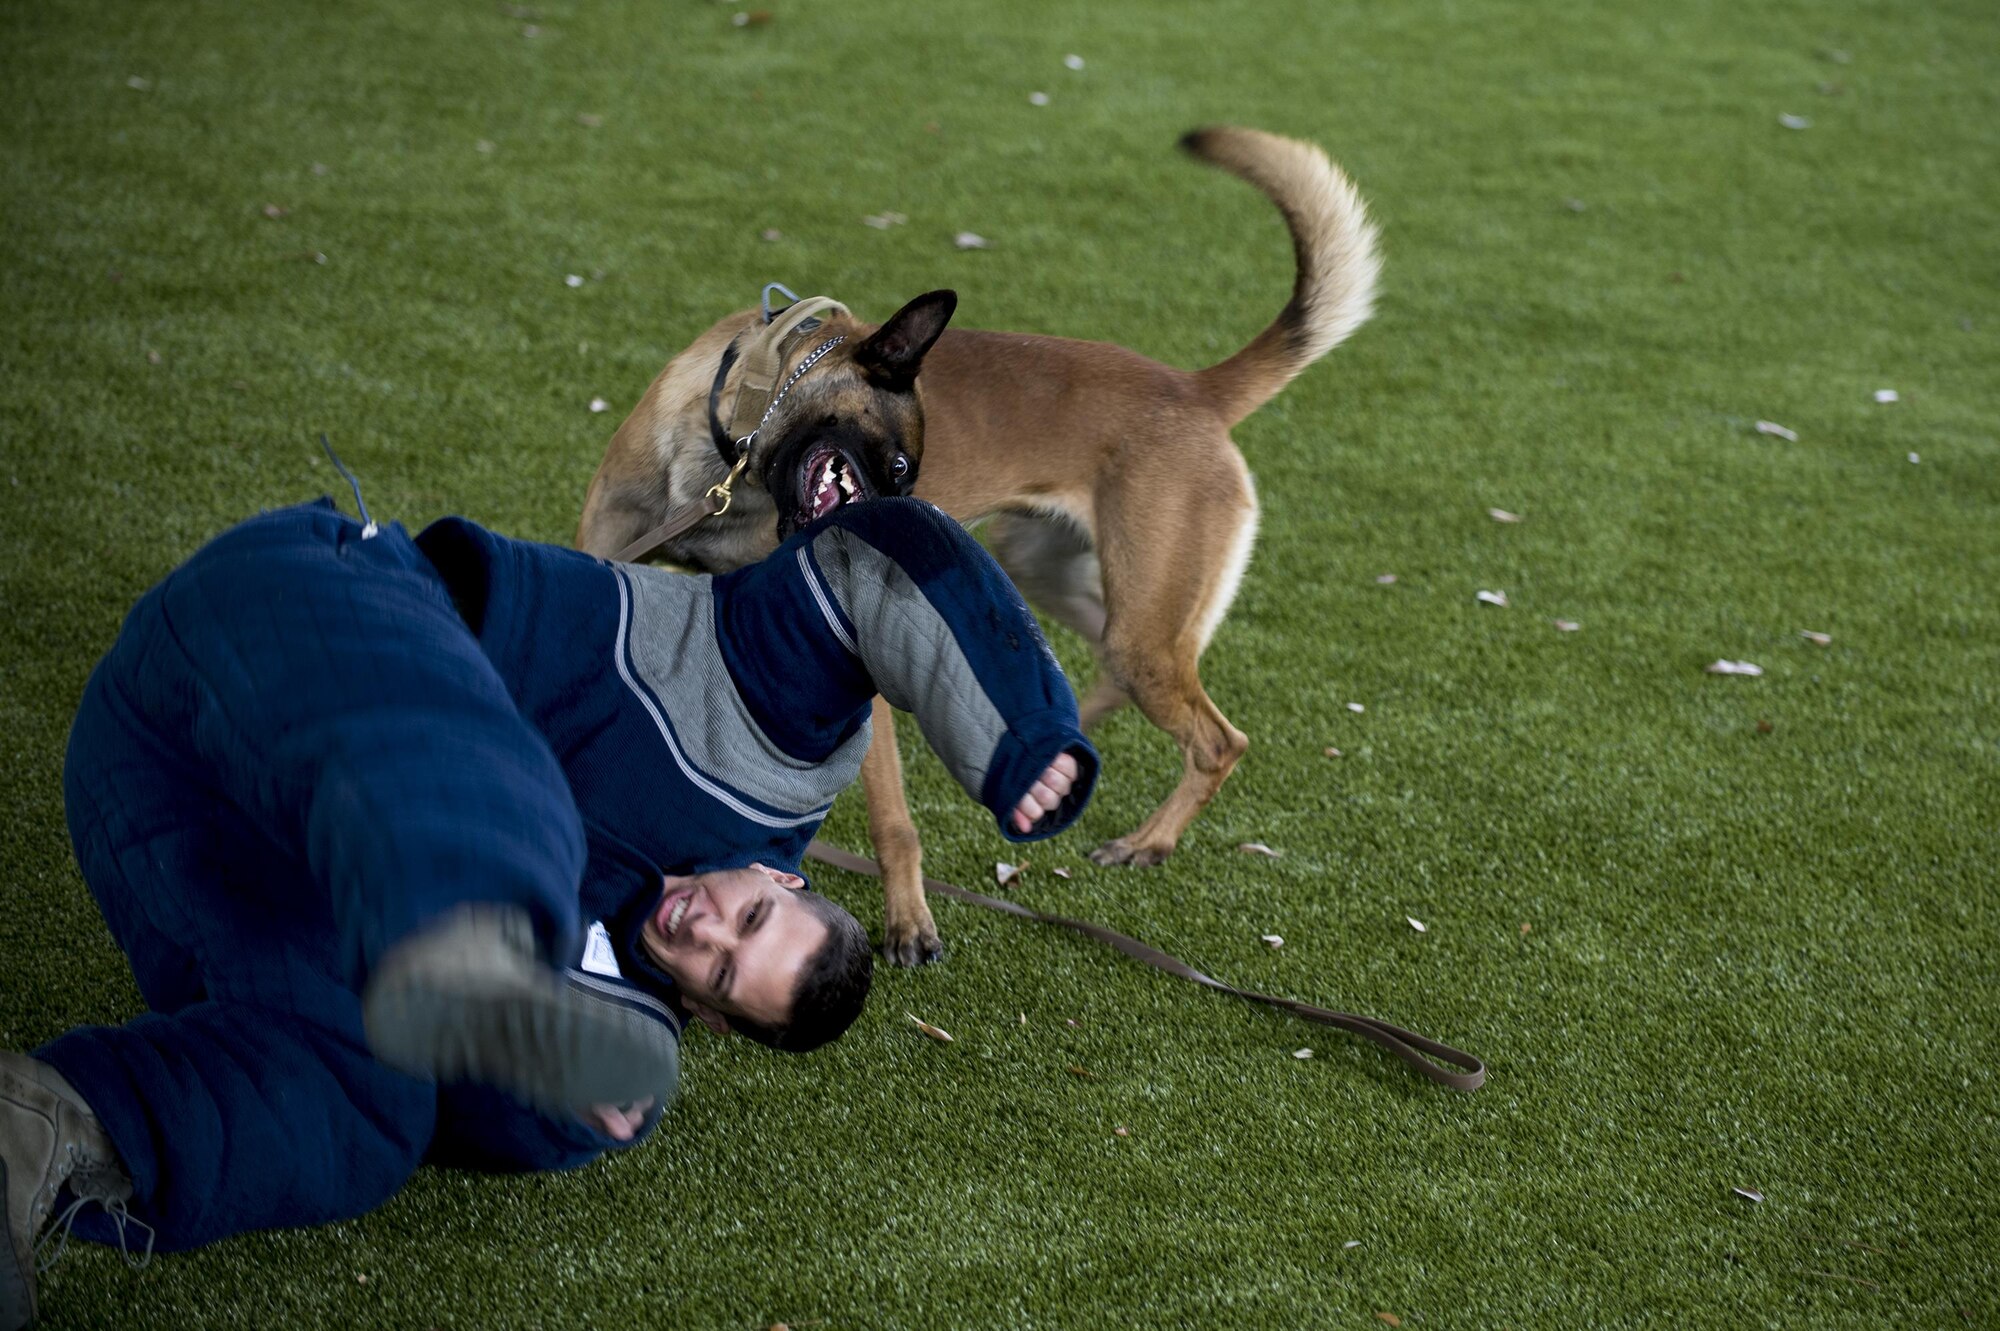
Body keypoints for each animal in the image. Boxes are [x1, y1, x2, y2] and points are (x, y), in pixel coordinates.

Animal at [580, 124, 1376, 959]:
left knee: (1219, 739)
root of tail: (1195, 390)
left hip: (1143, 625)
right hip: (1061, 578)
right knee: (1111, 672)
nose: (905, 528)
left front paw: (908, 923)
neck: (724, 465)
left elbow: (892, 821)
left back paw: (1146, 841)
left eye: (909, 471)